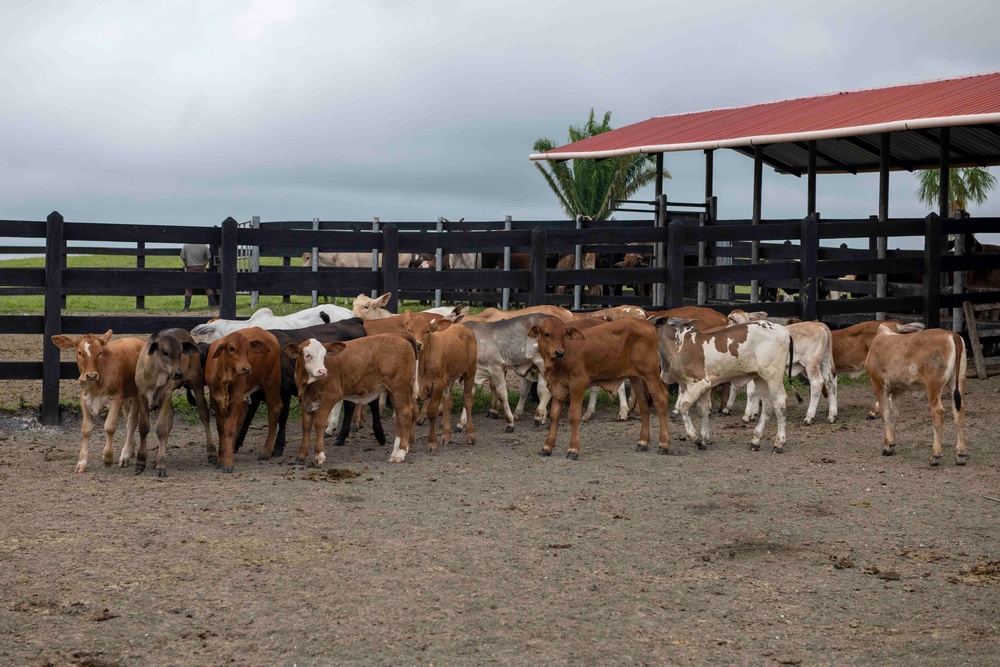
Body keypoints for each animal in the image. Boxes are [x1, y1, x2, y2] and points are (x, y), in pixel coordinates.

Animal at [49, 332, 144, 472]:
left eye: (100, 352)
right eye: (80, 352)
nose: (91, 375)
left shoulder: (116, 398)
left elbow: (110, 427)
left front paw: (108, 457)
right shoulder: (84, 399)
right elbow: (86, 429)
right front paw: (82, 462)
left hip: (137, 394)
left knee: (132, 421)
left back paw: (125, 454)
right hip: (127, 397)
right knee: (128, 418)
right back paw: (131, 449)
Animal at [134, 328, 216, 474]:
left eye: (180, 353)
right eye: (165, 352)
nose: (178, 373)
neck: (155, 377)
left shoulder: (166, 395)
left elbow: (161, 428)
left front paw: (161, 465)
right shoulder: (141, 396)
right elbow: (144, 427)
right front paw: (141, 461)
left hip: (197, 383)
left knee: (204, 413)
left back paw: (211, 451)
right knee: (170, 420)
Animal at [203, 326, 282, 472]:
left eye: (248, 349)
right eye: (231, 348)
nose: (246, 369)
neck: (225, 376)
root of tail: (267, 333)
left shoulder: (237, 399)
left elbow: (229, 428)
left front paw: (228, 462)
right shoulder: (215, 399)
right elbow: (221, 429)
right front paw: (221, 458)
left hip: (271, 381)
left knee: (275, 409)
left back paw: (266, 451)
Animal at [868, 326, 968, 468]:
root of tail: (952, 334)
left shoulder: (879, 385)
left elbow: (886, 414)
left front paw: (887, 447)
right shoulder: (899, 389)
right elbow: (895, 414)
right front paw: (892, 444)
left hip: (933, 384)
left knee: (937, 411)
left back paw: (935, 455)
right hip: (958, 381)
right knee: (958, 411)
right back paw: (960, 454)